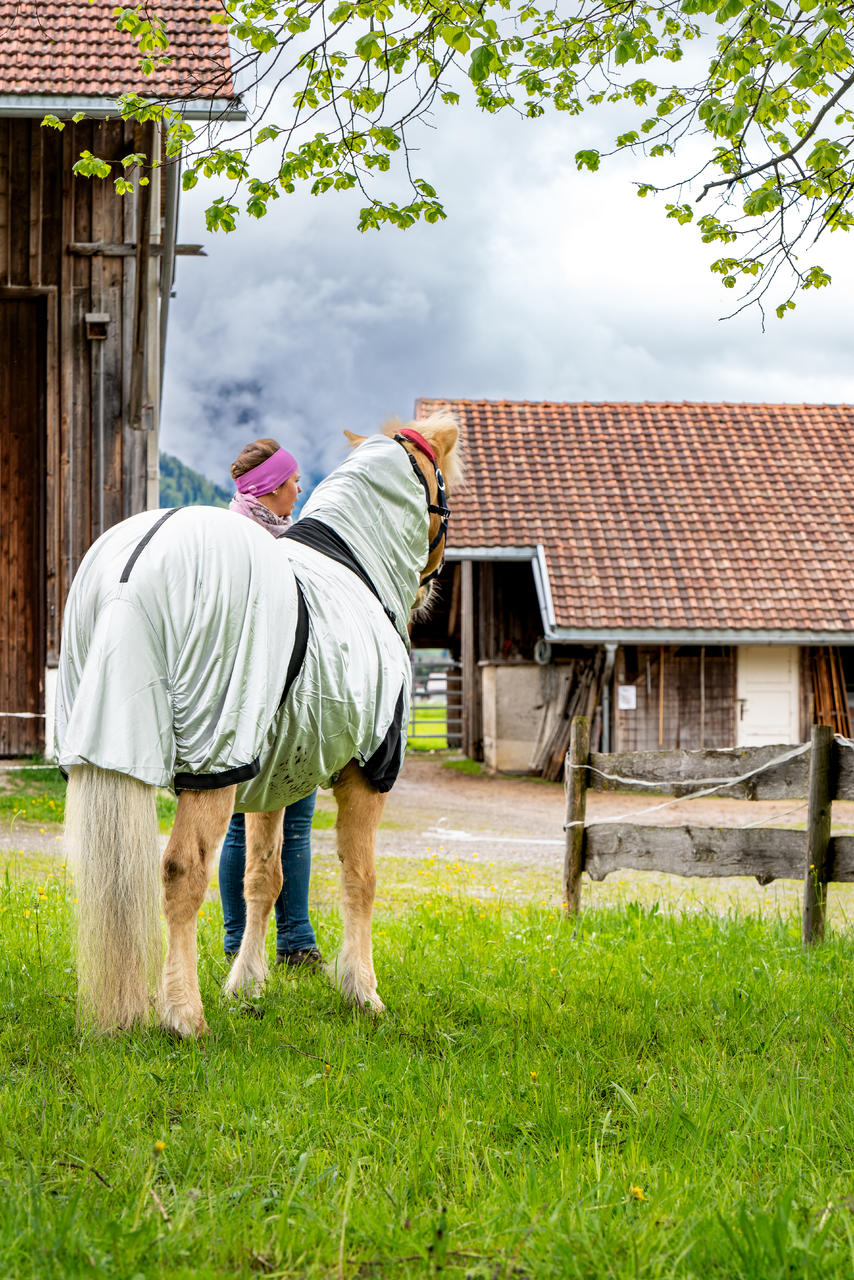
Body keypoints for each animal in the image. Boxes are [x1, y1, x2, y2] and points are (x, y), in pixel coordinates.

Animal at [56, 414, 460, 1034]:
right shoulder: (368, 771)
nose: (431, 588)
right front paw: (362, 991)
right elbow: (360, 877)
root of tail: (136, 567)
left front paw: (246, 984)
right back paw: (184, 1015)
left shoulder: (275, 777)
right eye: (442, 483)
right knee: (181, 872)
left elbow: (261, 879)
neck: (355, 566)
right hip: (213, 759)